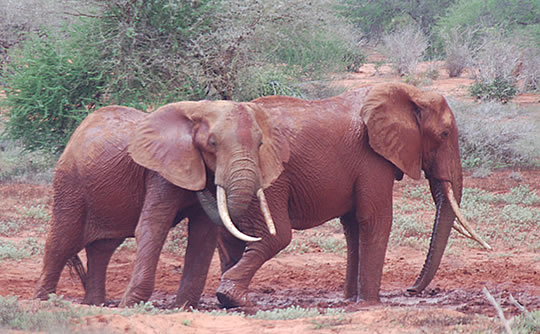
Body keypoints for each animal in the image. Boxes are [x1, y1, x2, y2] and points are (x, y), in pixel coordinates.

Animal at [32, 100, 292, 310]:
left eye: (260, 144)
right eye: (212, 143)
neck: (198, 111)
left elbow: (203, 235)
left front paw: (184, 307)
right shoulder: (160, 172)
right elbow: (153, 227)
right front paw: (131, 306)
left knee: (103, 248)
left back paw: (94, 304)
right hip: (70, 182)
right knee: (62, 240)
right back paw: (44, 301)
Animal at [213, 82, 492, 306]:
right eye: (444, 134)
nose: (411, 290)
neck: (410, 93)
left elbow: (353, 226)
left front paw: (351, 300)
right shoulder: (371, 158)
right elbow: (376, 219)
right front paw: (370, 304)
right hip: (267, 182)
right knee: (275, 237)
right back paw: (231, 297)